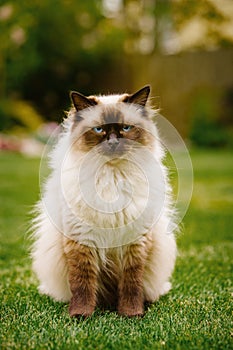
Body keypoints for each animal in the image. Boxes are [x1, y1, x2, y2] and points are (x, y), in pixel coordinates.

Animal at [31, 85, 177, 318]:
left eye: (126, 128)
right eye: (99, 130)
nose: (114, 143)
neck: (112, 177)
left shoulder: (135, 243)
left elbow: (131, 284)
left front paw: (131, 314)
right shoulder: (81, 240)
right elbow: (82, 284)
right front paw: (80, 315)